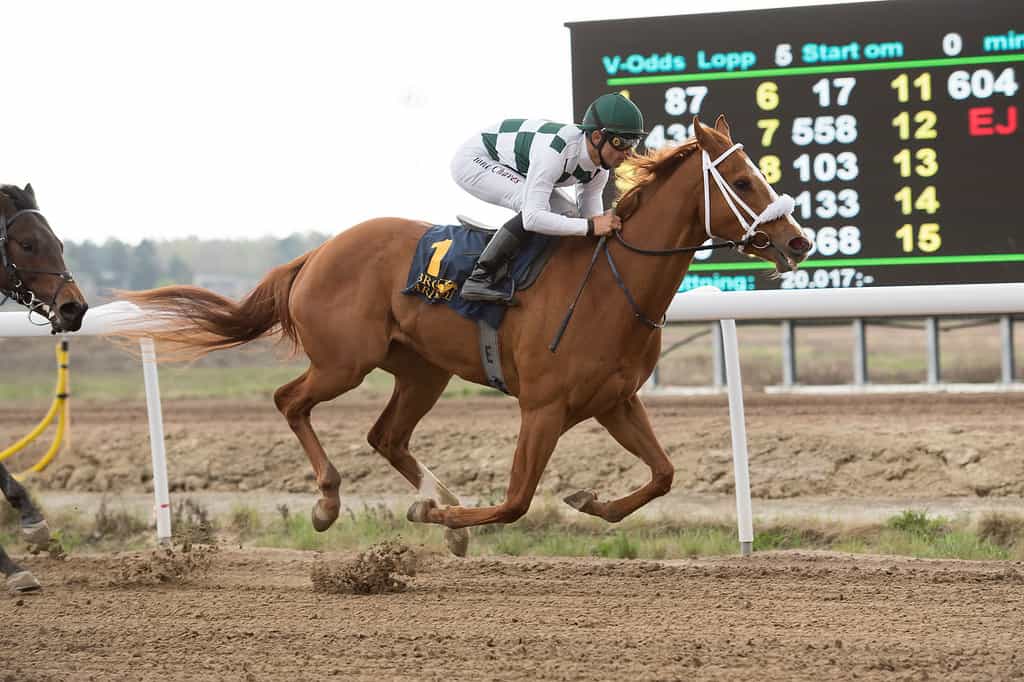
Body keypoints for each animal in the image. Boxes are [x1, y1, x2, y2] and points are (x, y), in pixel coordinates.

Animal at [117, 116, 806, 552]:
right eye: (743, 182)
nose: (798, 241)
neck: (613, 285)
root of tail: (317, 252)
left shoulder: (614, 401)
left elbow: (663, 474)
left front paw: (588, 502)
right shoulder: (543, 407)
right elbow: (517, 500)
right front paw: (447, 515)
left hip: (423, 370)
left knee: (386, 435)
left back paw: (433, 508)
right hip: (346, 362)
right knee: (291, 401)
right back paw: (332, 502)